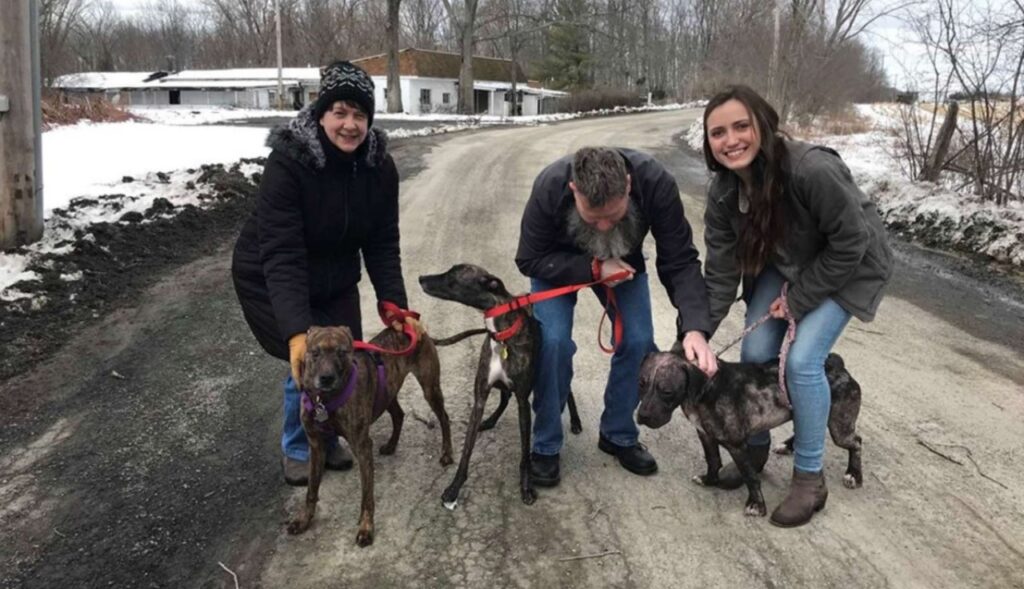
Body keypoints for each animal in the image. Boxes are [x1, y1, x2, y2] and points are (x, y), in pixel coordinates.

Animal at [286, 325, 450, 544]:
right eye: (315, 353)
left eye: (342, 352)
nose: (327, 378)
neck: (325, 401)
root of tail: (414, 328)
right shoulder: (316, 446)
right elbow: (311, 489)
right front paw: (304, 519)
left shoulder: (362, 447)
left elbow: (367, 496)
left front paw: (366, 527)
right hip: (387, 391)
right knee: (399, 415)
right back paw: (391, 445)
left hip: (429, 387)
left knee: (444, 418)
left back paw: (447, 453)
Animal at [415, 264, 577, 510]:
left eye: (453, 277)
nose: (421, 278)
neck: (502, 335)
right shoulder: (480, 397)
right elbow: (466, 452)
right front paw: (453, 489)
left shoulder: (523, 402)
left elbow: (524, 455)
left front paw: (526, 487)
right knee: (503, 398)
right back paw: (490, 420)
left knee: (568, 392)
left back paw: (576, 422)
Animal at [634, 350, 860, 516]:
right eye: (641, 383)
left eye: (667, 391)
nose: (642, 416)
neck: (707, 389)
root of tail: (838, 365)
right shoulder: (705, 435)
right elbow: (713, 460)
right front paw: (709, 480)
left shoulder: (737, 445)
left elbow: (750, 476)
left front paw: (756, 504)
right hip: (806, 413)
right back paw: (787, 446)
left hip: (838, 429)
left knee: (856, 442)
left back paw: (854, 475)